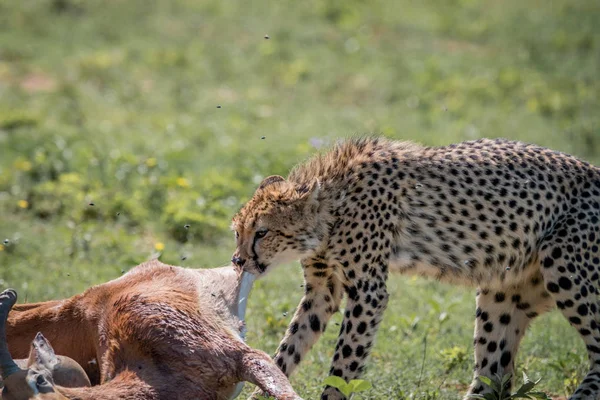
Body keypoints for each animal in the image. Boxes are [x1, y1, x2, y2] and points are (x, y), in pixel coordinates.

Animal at [231, 136, 600, 398]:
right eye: (238, 231)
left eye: (262, 232)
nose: (238, 260)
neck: (331, 206)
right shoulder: (323, 290)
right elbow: (289, 347)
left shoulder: (369, 293)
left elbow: (345, 362)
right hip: (504, 295)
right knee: (493, 377)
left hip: (565, 270)